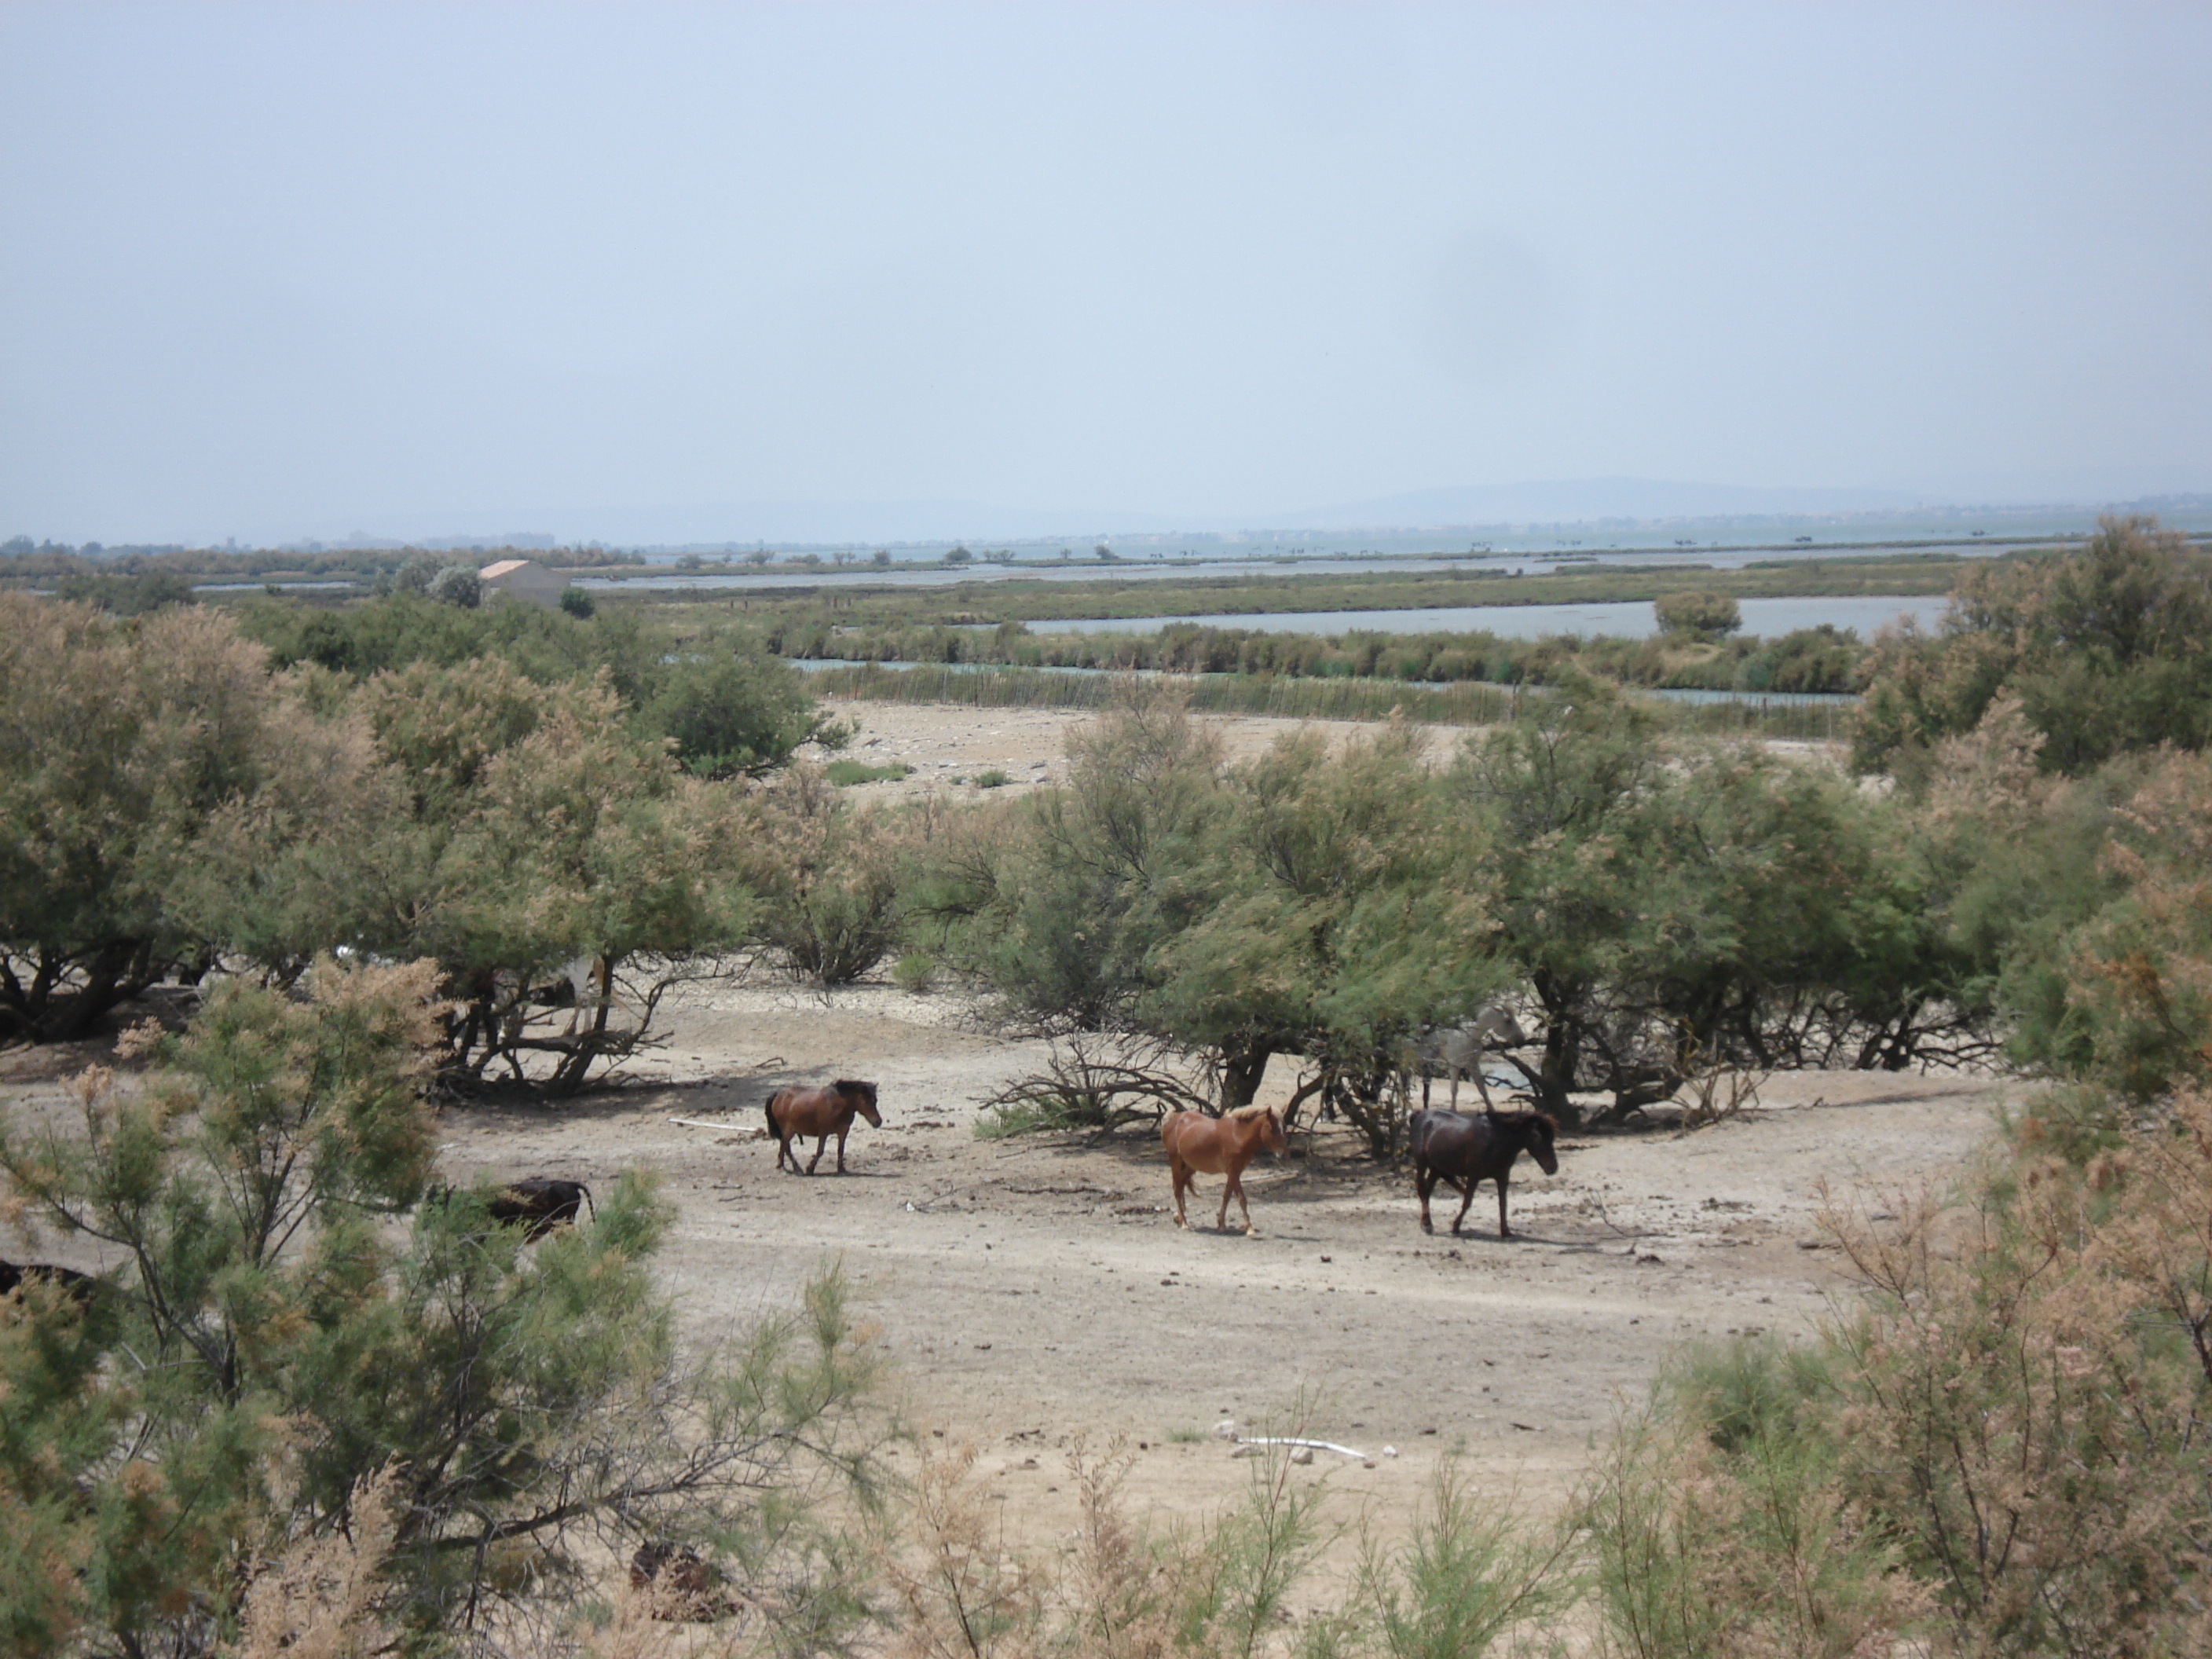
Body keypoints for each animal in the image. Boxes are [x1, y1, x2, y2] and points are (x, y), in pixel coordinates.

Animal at [760, 1083, 880, 1177]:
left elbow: (841, 1150)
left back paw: (781, 1165)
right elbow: (820, 1151)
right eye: (866, 1102)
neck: (837, 1105)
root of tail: (778, 1095)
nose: (878, 1122)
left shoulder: (843, 1131)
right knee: (786, 1147)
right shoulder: (823, 1132)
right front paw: (810, 1169)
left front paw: (841, 1169)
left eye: (876, 1101)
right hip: (788, 1130)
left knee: (783, 1146)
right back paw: (795, 1168)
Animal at [1167, 1106, 1291, 1238]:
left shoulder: (1235, 1172)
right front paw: (1249, 1228)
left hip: (1190, 1166)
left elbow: (1227, 1196)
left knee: (1180, 1186)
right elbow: (1242, 1199)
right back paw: (1184, 1223)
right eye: (1271, 1128)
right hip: (1176, 1163)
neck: (1238, 1135)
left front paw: (1221, 1224)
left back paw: (1179, 1218)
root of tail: (1173, 1119)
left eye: (1284, 1127)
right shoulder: (1233, 1171)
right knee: (1177, 1190)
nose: (1285, 1156)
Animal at [1415, 1110, 1557, 1238]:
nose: (1553, 1168)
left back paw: (1426, 1223)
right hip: (1422, 1164)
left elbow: (1503, 1203)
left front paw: (1505, 1231)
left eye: (1552, 1137)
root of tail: (1420, 1115)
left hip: (1436, 1168)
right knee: (1422, 1190)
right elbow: (1467, 1202)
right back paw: (1427, 1226)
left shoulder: (1503, 1176)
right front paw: (1455, 1226)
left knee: (1427, 1192)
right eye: (1537, 1136)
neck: (1495, 1141)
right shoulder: (1474, 1176)